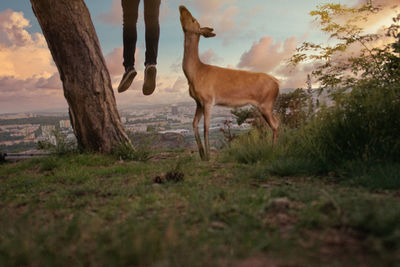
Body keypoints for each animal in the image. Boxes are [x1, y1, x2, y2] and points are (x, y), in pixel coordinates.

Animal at [180, 5, 280, 161]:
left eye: (193, 19)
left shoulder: (208, 100)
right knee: (277, 122)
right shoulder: (198, 102)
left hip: (266, 104)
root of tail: (278, 84)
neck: (194, 74)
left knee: (275, 124)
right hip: (266, 105)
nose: (182, 7)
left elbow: (206, 128)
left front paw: (208, 156)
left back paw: (273, 151)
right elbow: (194, 124)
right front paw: (202, 155)